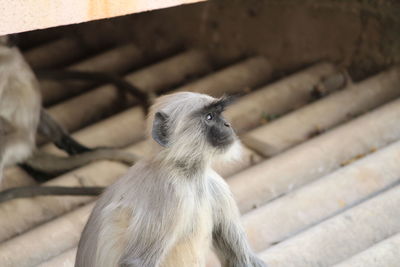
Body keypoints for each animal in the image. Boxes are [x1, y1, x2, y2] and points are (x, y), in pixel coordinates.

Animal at [76, 92, 268, 267]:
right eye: (209, 117)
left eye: (219, 114)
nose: (227, 124)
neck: (187, 174)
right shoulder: (168, 192)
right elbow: (136, 262)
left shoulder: (215, 184)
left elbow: (240, 259)